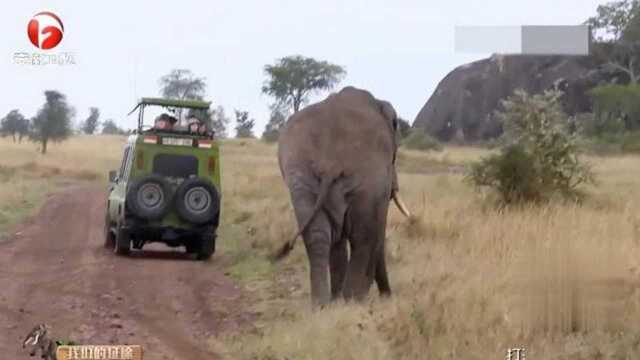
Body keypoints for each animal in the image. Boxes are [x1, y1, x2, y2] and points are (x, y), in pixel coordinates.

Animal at [276, 85, 410, 306]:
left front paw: (336, 301)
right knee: (364, 236)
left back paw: (322, 304)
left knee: (318, 235)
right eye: (394, 157)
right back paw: (352, 300)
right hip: (366, 177)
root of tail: (330, 162)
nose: (387, 295)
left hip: (299, 173)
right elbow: (375, 230)